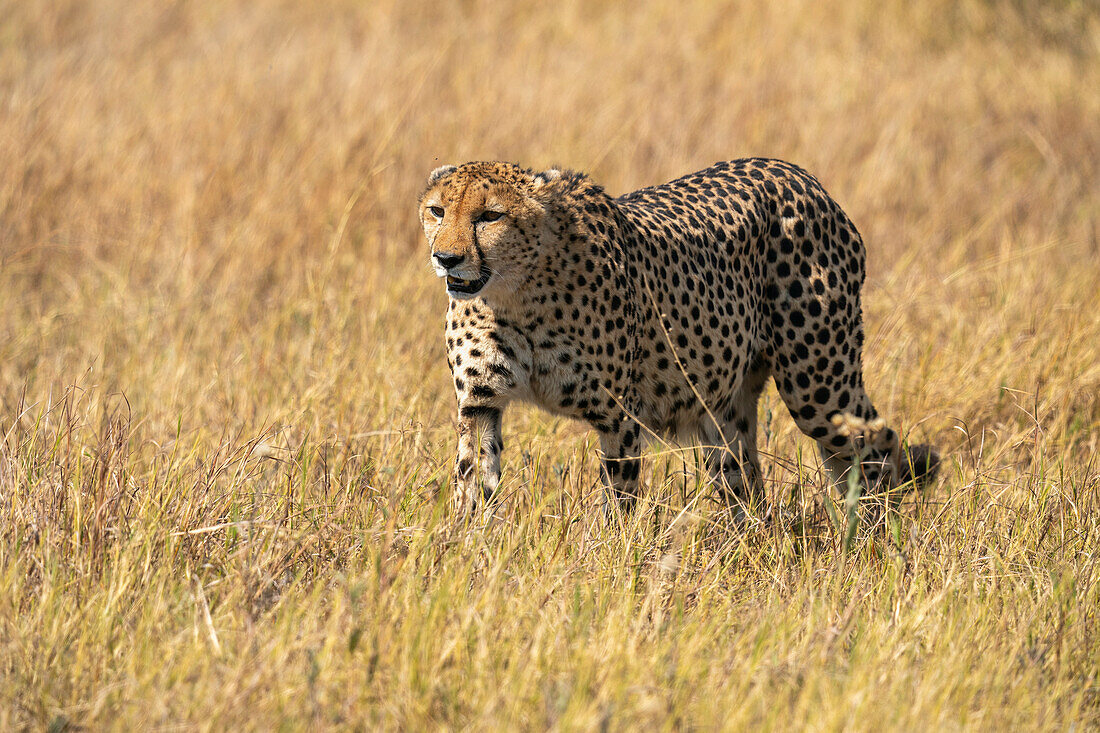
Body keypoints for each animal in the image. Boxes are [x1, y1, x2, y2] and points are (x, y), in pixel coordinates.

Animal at [418, 159, 937, 512]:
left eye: (489, 216)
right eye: (437, 211)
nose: (446, 258)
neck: (513, 295)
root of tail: (799, 174)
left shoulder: (619, 415)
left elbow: (620, 499)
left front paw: (610, 564)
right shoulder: (480, 403)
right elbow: (472, 479)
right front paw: (469, 554)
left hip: (819, 388)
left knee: (877, 441)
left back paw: (876, 527)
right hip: (723, 408)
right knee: (745, 482)